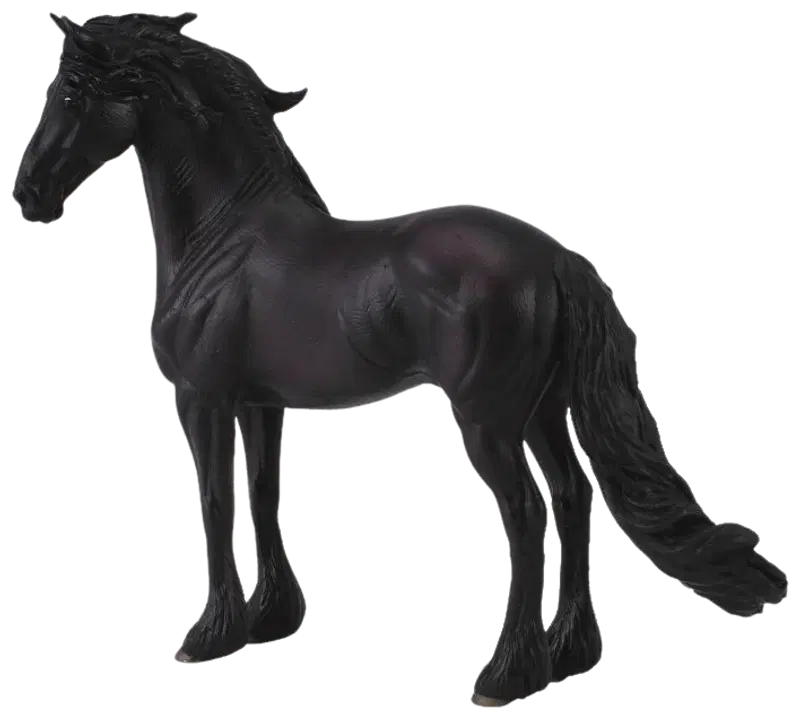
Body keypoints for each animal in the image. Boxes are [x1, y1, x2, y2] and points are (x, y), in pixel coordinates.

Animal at [15, 11, 789, 707]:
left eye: (70, 91)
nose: (28, 194)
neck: (227, 233)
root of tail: (555, 259)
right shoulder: (261, 403)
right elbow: (262, 492)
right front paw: (272, 620)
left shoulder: (203, 400)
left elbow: (213, 497)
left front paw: (209, 635)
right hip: (540, 412)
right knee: (572, 500)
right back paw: (568, 656)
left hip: (489, 424)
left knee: (527, 513)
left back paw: (505, 676)